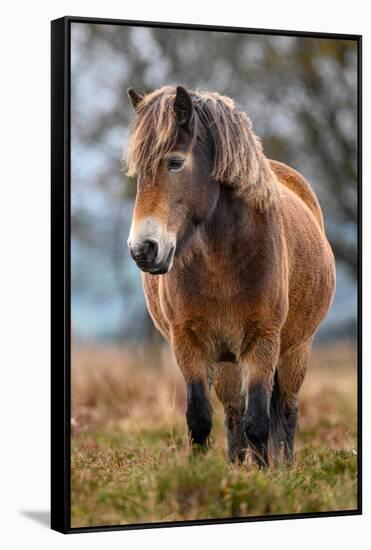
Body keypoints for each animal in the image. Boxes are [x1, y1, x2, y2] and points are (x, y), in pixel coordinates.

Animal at [125, 85, 338, 466]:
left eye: (175, 162)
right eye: (138, 173)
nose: (143, 250)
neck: (221, 264)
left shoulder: (262, 343)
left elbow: (260, 422)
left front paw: (267, 476)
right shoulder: (189, 344)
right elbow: (200, 420)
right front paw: (200, 475)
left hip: (296, 350)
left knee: (286, 412)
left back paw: (284, 466)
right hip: (226, 358)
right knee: (234, 412)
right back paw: (237, 465)